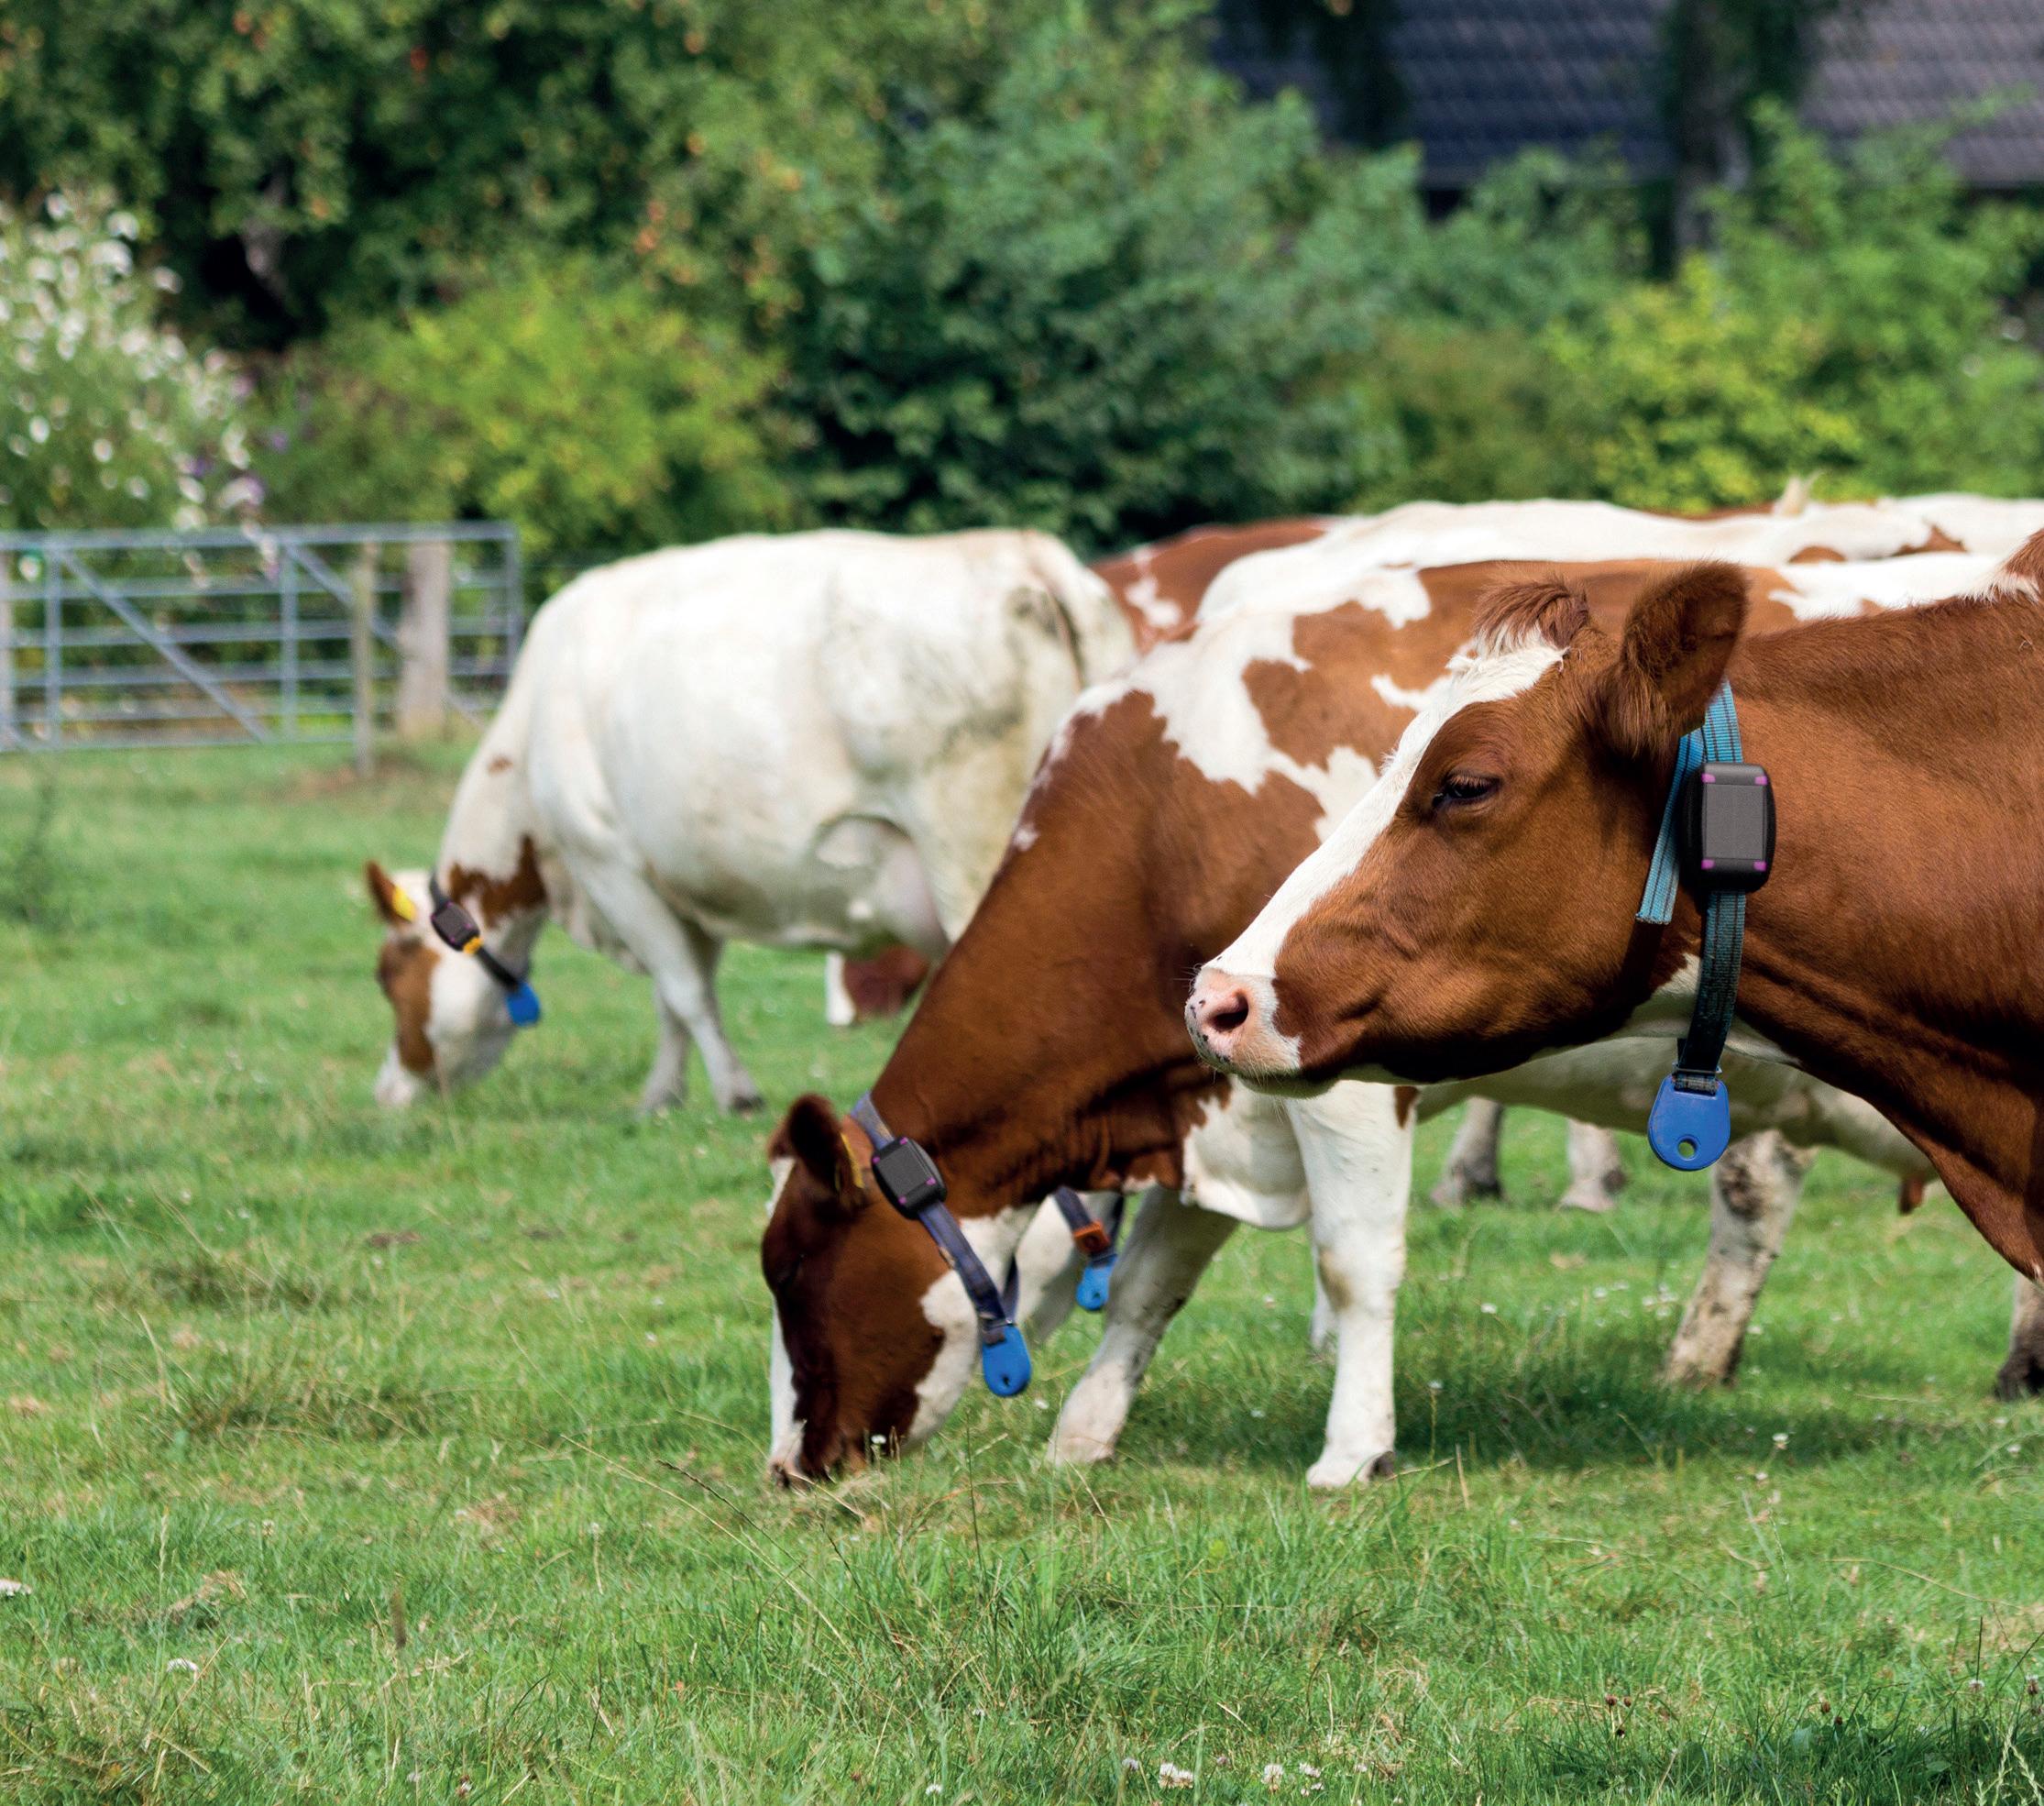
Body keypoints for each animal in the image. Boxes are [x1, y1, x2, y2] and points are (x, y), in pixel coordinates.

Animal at [365, 529, 1134, 1114]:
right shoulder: (680, 881)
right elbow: (675, 999)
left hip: (973, 856)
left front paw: (734, 1094)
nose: (387, 1092)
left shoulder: (610, 862)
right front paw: (662, 1095)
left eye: (388, 975)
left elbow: (683, 992)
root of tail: (1021, 552)